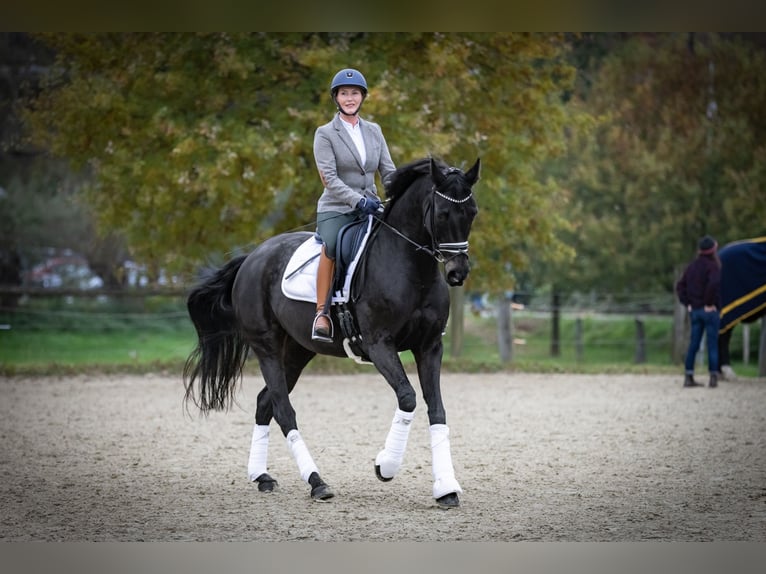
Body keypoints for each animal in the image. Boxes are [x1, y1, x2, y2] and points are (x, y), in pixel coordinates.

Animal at [183, 158, 480, 508]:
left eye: (472, 212)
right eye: (443, 213)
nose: (457, 273)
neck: (411, 268)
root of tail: (253, 257)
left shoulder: (430, 347)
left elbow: (437, 409)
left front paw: (446, 488)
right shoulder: (379, 345)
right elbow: (408, 398)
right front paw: (386, 466)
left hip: (297, 351)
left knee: (265, 403)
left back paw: (262, 476)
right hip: (266, 346)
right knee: (283, 410)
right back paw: (317, 482)